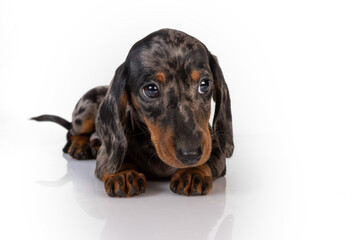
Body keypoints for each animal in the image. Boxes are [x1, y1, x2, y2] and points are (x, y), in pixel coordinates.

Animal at [31, 28, 233, 197]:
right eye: (150, 90)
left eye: (204, 84)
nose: (191, 154)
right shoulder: (106, 155)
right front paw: (124, 173)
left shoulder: (215, 148)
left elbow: (211, 158)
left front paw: (193, 171)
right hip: (87, 108)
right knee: (72, 132)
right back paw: (80, 145)